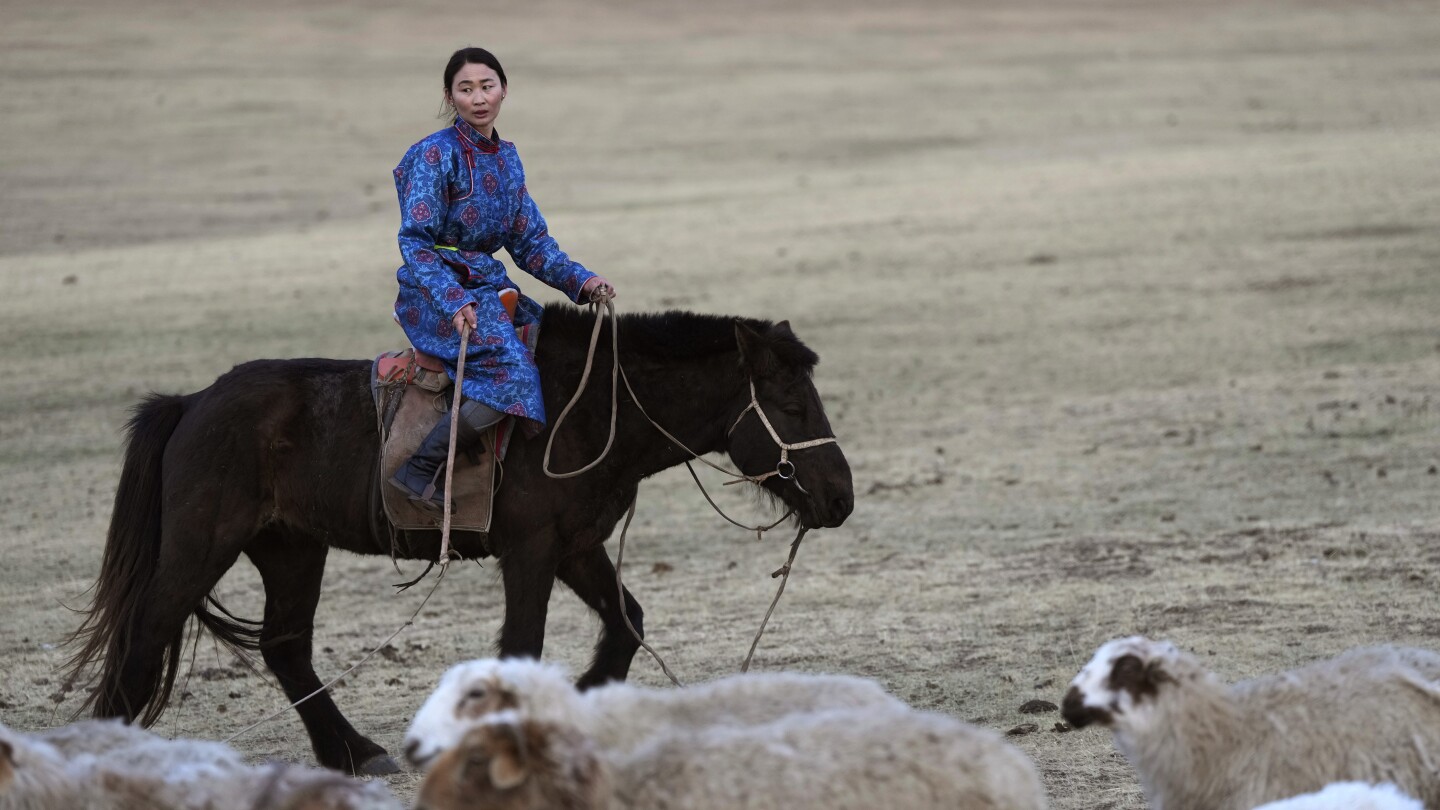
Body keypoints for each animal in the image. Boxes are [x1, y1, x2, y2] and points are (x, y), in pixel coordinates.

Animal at [67, 305, 846, 772]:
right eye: (789, 403)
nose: (840, 497)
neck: (590, 412)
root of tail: (192, 403)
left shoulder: (577, 546)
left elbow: (627, 622)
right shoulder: (532, 551)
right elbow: (523, 644)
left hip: (291, 549)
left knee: (285, 648)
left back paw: (355, 754)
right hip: (202, 546)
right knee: (145, 634)